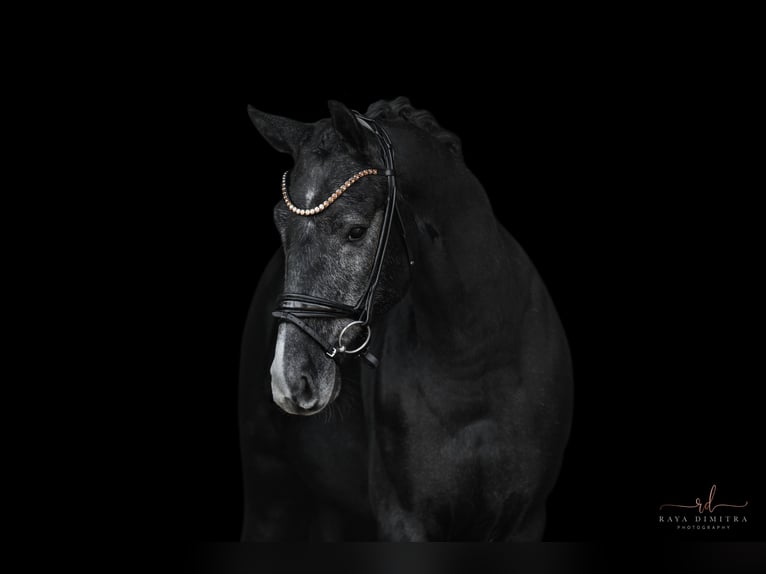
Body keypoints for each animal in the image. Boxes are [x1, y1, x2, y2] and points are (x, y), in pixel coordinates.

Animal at [242, 97, 576, 544]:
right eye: (281, 226)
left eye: (355, 231)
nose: (289, 381)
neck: (477, 360)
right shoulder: (405, 520)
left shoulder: (523, 520)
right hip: (269, 494)